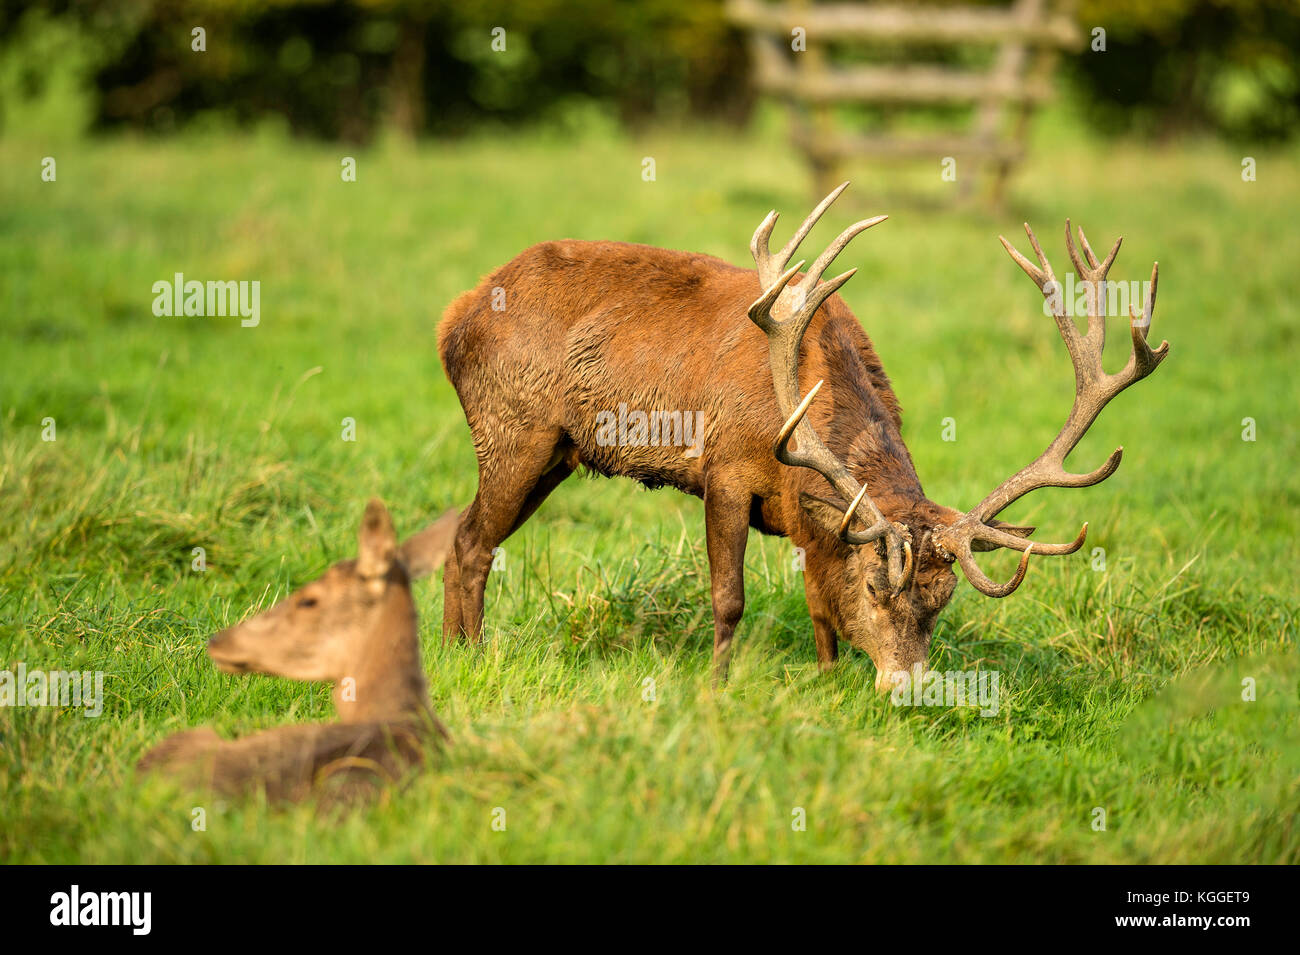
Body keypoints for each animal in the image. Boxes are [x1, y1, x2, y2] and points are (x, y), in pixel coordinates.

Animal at [437, 182, 1168, 690]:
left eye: (942, 602)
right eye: (875, 589)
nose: (908, 687)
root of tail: (455, 316)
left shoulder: (811, 520)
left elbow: (816, 602)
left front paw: (826, 680)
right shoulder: (725, 469)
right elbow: (729, 598)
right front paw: (716, 685)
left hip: (557, 453)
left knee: (473, 539)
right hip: (512, 427)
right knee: (469, 540)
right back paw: (463, 654)